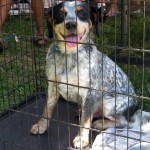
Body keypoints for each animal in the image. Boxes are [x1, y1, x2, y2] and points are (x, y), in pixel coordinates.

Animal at [29, 0, 149, 149]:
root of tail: (135, 107)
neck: (69, 55)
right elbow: (47, 109)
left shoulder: (89, 92)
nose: (71, 24)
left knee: (124, 123)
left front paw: (82, 139)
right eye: (60, 15)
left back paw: (101, 123)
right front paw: (41, 126)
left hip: (109, 103)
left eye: (82, 14)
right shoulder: (52, 86)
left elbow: (85, 121)